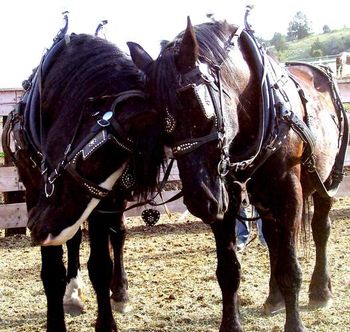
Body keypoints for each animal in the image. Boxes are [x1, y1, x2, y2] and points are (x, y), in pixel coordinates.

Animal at [2, 24, 164, 330]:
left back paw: (120, 292)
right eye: (96, 155)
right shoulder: (34, 188)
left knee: (117, 235)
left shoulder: (104, 200)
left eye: (128, 168)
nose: (38, 228)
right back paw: (73, 292)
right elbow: (53, 269)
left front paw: (107, 320)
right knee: (75, 239)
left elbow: (101, 264)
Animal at [127, 14, 348, 332]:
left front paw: (295, 323)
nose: (199, 200)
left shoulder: (288, 194)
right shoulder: (227, 195)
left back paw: (320, 290)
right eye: (158, 121)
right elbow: (229, 271)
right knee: (273, 239)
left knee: (320, 228)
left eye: (199, 105)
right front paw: (231, 324)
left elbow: (291, 268)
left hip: (327, 180)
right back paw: (274, 298)